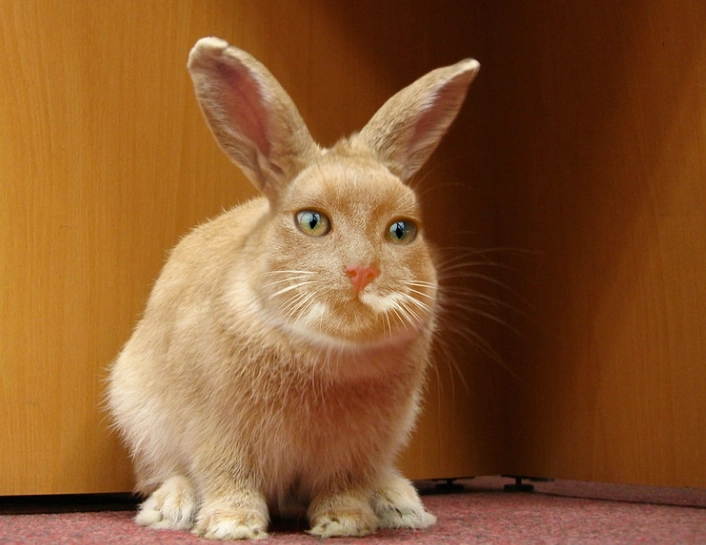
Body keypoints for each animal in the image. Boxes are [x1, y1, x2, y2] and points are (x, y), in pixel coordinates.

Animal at [107, 36, 479, 540]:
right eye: (312, 222)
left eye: (402, 230)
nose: (362, 271)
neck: (328, 353)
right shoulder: (219, 433)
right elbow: (228, 476)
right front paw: (233, 527)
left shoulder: (355, 451)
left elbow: (344, 486)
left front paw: (344, 524)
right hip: (138, 414)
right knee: (166, 472)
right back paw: (171, 508)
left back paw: (400, 505)